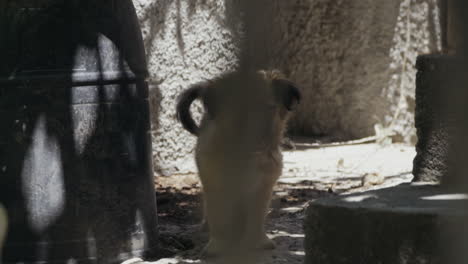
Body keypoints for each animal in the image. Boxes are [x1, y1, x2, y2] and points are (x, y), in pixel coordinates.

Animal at [175, 70, 300, 258]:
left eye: (268, 109)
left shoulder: (263, 186)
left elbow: (257, 216)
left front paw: (258, 241)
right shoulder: (216, 183)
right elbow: (218, 215)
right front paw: (217, 245)